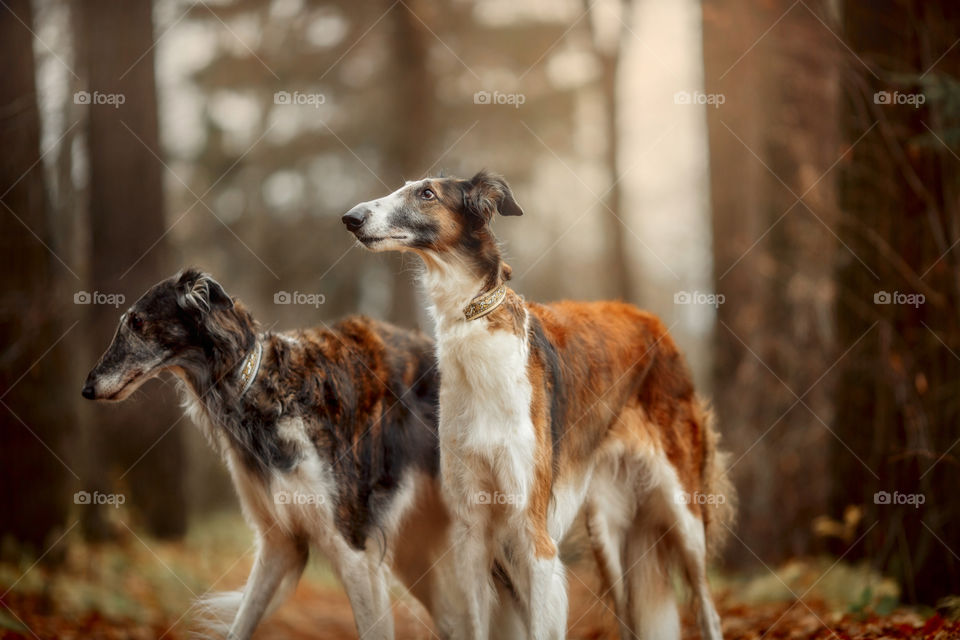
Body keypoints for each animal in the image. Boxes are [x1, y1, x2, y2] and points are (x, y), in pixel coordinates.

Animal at [344, 171, 736, 640]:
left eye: (427, 193)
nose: (351, 217)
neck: (473, 322)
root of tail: (654, 322)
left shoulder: (534, 537)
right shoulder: (471, 535)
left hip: (683, 510)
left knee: (708, 608)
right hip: (608, 529)